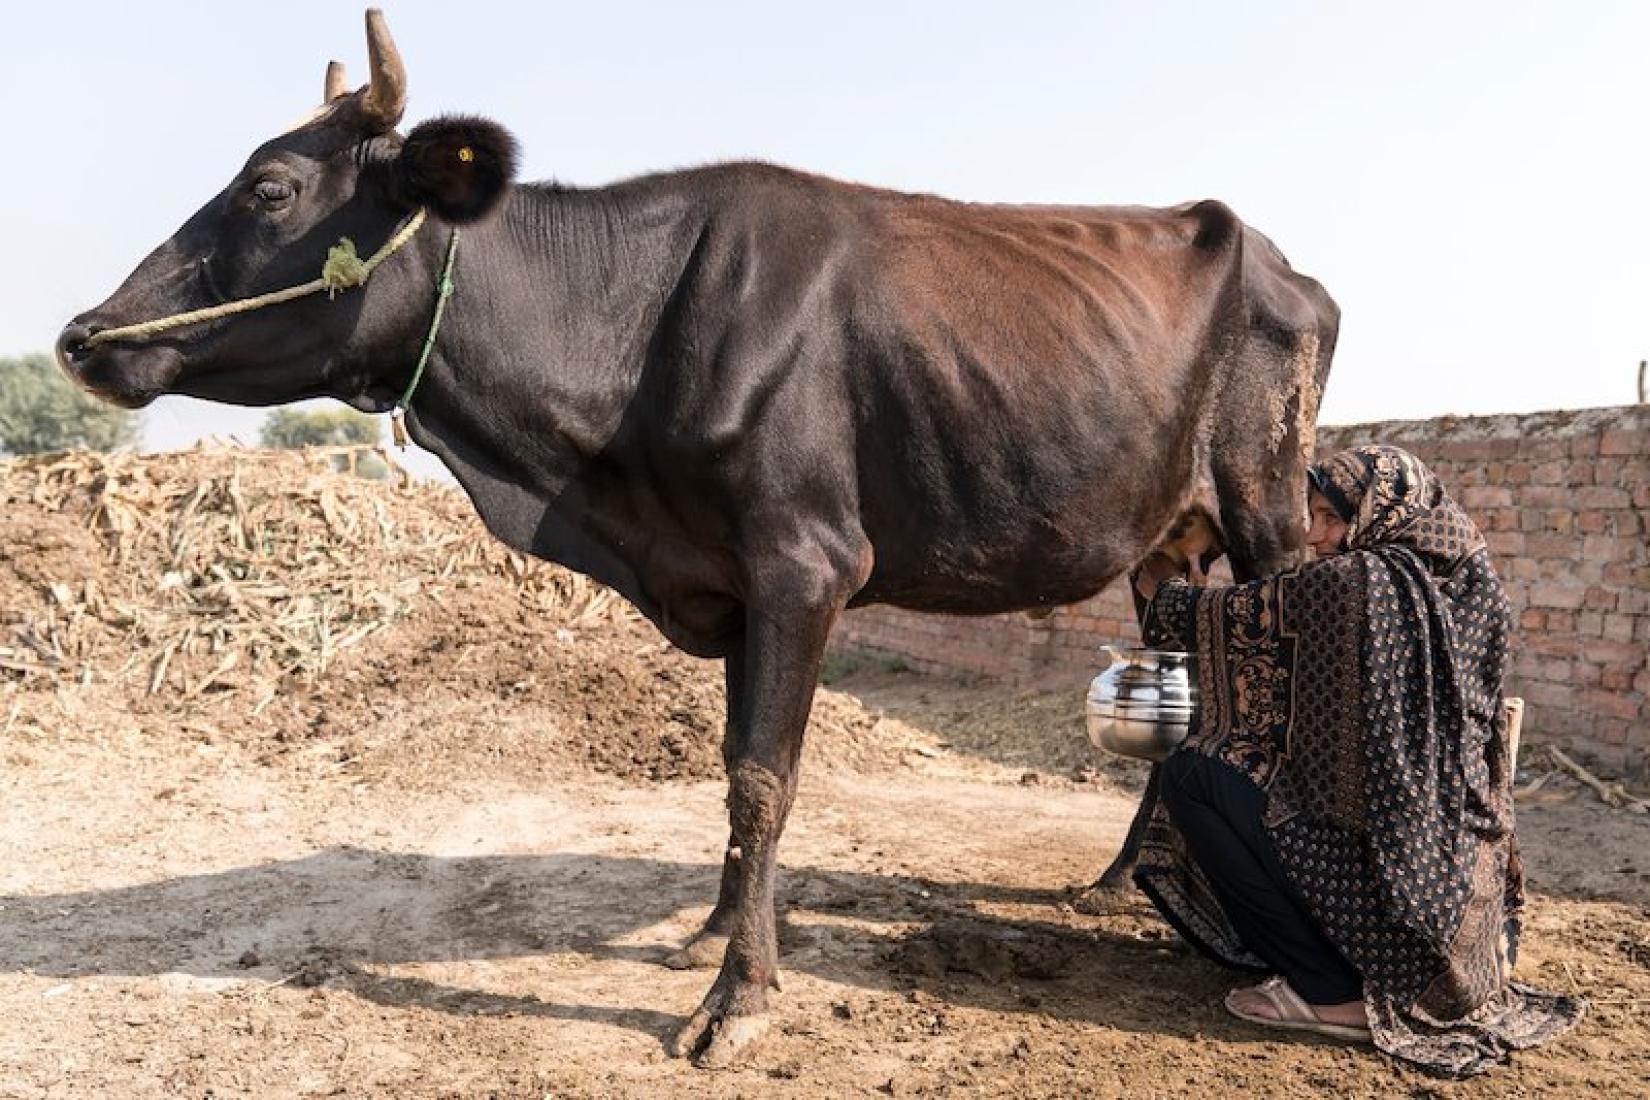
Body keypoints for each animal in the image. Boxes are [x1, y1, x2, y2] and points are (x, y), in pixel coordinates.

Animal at [54, 8, 1339, 1068]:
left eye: (271, 188)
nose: (82, 334)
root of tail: (1275, 256)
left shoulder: (804, 564)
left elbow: (766, 775)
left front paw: (740, 994)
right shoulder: (720, 574)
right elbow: (728, 764)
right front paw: (717, 926)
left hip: (1266, 502)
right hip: (1164, 546)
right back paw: (1117, 880)